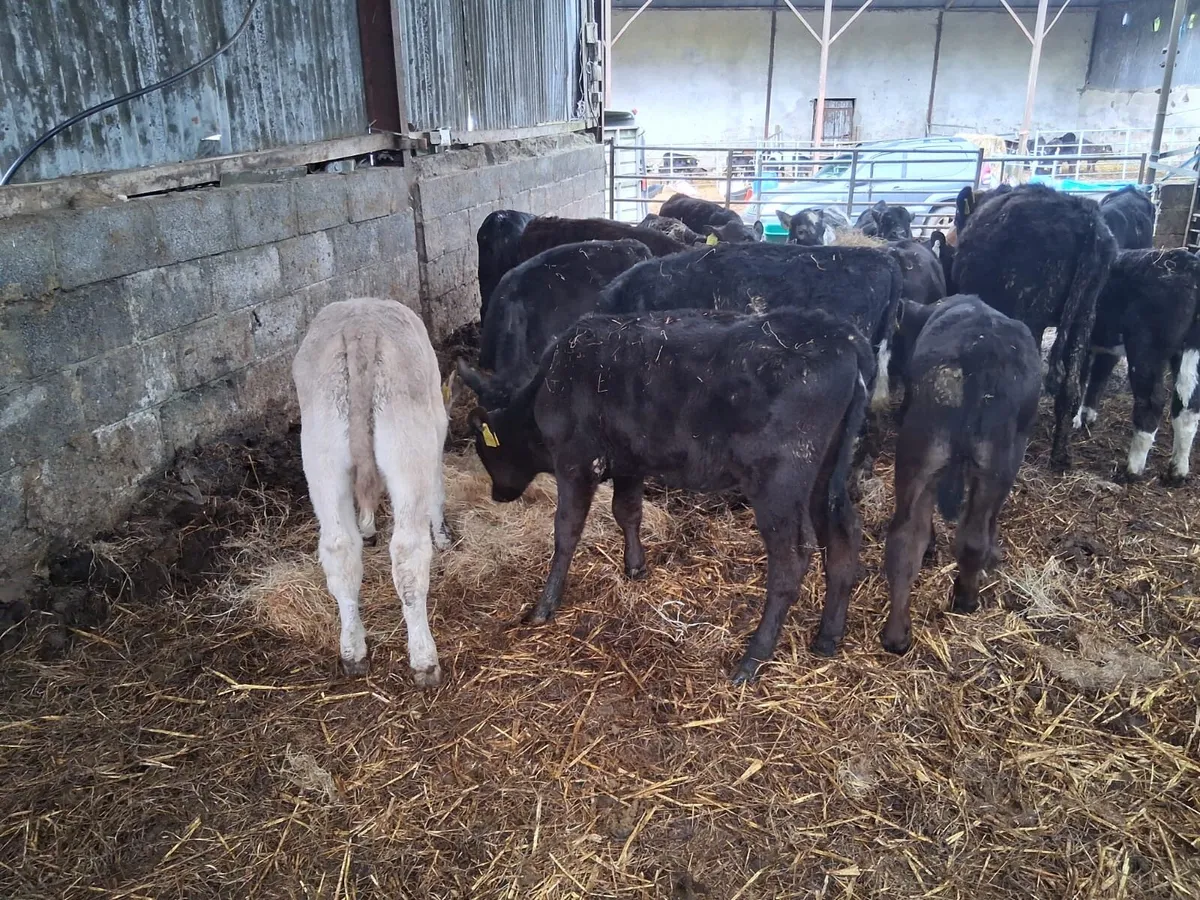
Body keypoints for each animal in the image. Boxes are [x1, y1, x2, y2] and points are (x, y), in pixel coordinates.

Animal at [292, 298, 455, 684]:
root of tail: (360, 325)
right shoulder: (436, 425)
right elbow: (438, 486)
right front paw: (442, 535)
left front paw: (367, 527)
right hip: (407, 446)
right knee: (409, 552)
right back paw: (424, 659)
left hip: (321, 456)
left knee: (339, 549)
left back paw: (353, 651)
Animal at [465, 308, 875, 681]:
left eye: (485, 450)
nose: (498, 495)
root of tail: (842, 335)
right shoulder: (628, 462)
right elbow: (627, 511)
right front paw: (635, 566)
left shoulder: (576, 460)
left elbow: (566, 532)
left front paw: (544, 606)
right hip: (826, 473)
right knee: (844, 535)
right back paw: (827, 637)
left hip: (779, 482)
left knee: (792, 558)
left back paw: (753, 658)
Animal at [881, 295, 1041, 655]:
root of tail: (976, 358)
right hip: (996, 463)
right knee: (972, 539)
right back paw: (966, 598)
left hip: (921, 456)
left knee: (904, 540)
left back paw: (896, 635)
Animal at [1074, 249, 1200, 482]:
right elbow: (1095, 376)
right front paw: (1085, 417)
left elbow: (1081, 376)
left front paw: (1076, 419)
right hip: (1188, 351)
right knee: (1188, 405)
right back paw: (1178, 470)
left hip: (1146, 347)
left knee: (1152, 402)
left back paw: (1133, 468)